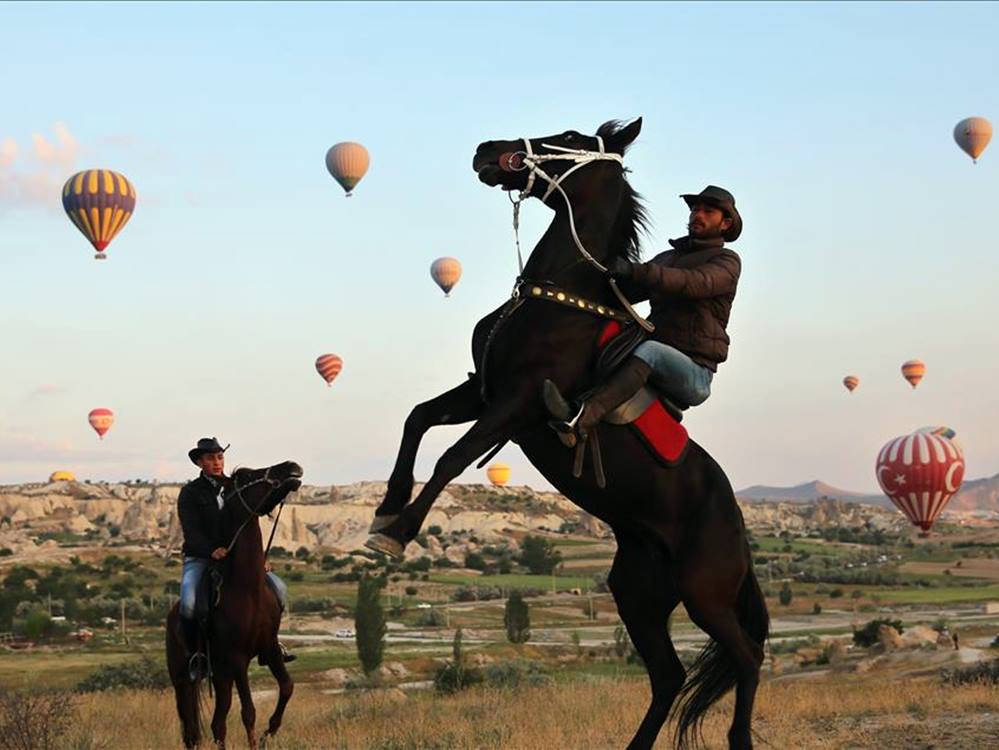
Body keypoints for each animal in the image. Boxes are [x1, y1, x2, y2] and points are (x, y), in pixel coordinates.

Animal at [165, 462, 300, 748]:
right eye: (246, 476)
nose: (291, 466)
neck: (248, 589)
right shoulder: (237, 659)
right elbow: (249, 711)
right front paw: (258, 739)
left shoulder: (269, 648)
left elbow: (287, 687)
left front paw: (268, 733)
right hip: (184, 680)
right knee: (192, 730)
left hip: (221, 675)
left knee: (218, 723)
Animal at [368, 120, 764, 748]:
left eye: (572, 136)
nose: (486, 151)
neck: (558, 299)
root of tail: (739, 529)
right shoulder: (483, 391)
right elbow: (418, 418)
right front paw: (385, 509)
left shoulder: (517, 405)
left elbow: (452, 457)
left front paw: (399, 533)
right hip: (639, 594)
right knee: (669, 676)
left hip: (706, 596)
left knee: (746, 658)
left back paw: (739, 739)